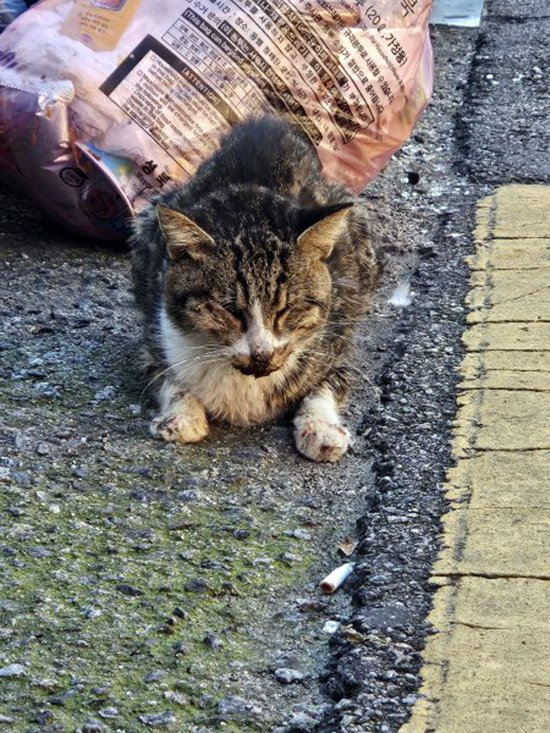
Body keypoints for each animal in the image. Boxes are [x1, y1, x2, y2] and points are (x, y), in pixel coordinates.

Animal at [130, 115, 380, 460]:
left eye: (288, 309)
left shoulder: (340, 339)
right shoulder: (152, 335)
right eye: (228, 310)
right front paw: (181, 415)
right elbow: (165, 376)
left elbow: (329, 382)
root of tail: (268, 123)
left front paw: (321, 426)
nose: (262, 355)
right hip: (145, 224)